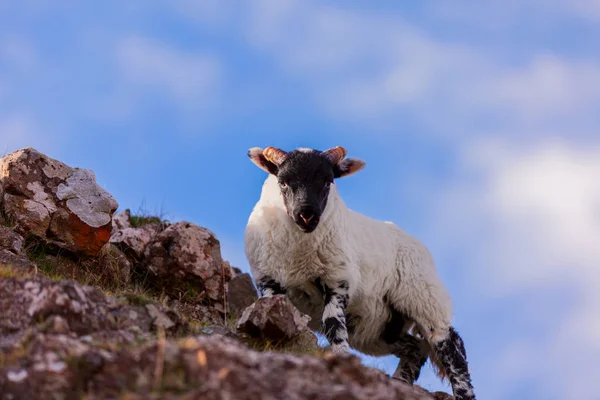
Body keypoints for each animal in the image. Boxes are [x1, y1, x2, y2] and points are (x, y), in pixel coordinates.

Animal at [244, 146, 478, 400]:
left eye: (328, 181)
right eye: (283, 182)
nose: (307, 214)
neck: (299, 255)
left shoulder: (338, 278)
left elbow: (333, 324)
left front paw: (342, 358)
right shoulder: (267, 280)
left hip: (422, 294)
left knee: (448, 342)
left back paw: (463, 391)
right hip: (381, 327)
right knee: (416, 349)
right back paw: (400, 382)